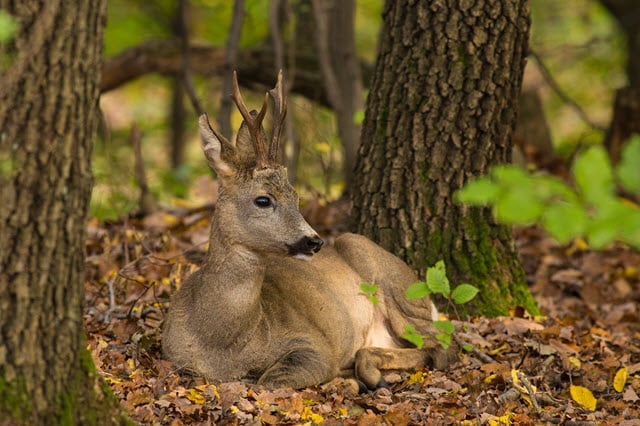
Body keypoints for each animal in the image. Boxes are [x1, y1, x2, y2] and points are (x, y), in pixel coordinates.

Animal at [162, 70, 458, 390]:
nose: (314, 241)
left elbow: (269, 381)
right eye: (263, 199)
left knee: (445, 344)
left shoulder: (311, 343)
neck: (221, 342)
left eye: (297, 196)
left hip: (399, 291)